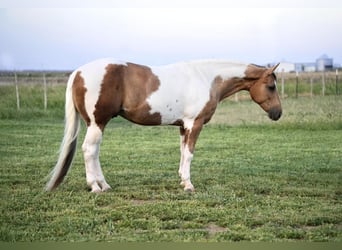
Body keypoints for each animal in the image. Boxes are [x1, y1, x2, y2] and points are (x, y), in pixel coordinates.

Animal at [44, 59, 280, 193]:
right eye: (271, 86)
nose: (278, 113)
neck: (206, 78)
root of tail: (77, 72)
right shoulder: (195, 124)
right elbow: (190, 154)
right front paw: (189, 185)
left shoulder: (183, 126)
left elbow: (183, 153)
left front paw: (182, 181)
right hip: (97, 123)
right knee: (89, 151)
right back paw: (95, 187)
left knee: (94, 152)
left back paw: (105, 185)